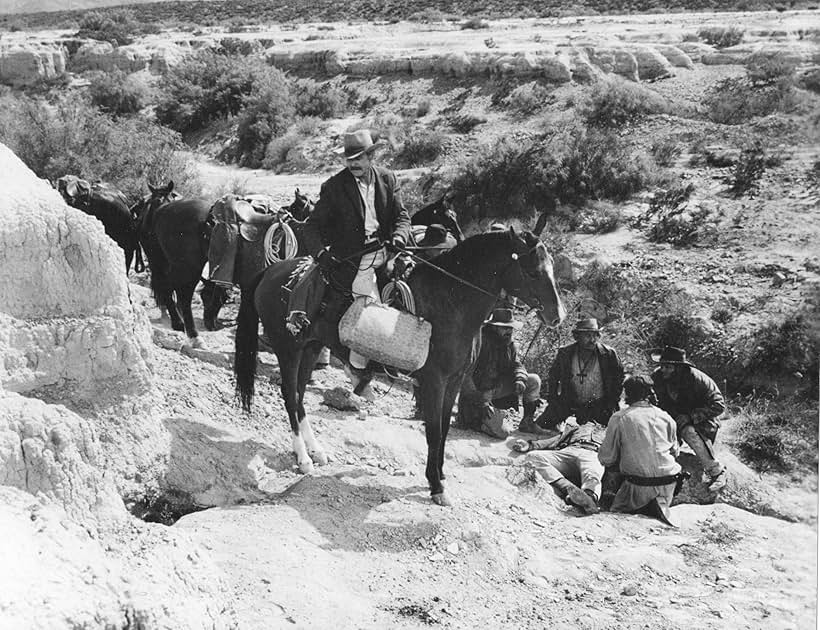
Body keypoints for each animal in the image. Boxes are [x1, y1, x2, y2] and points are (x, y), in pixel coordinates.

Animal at [231, 227, 564, 508]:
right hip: (287, 348)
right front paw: (436, 486)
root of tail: (272, 271)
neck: (449, 302)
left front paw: (440, 475)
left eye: (552, 268)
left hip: (311, 348)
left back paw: (317, 450)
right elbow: (433, 431)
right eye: (533, 271)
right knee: (290, 396)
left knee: (300, 396)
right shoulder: (434, 381)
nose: (558, 315)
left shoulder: (455, 381)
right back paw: (303, 458)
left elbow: (444, 430)